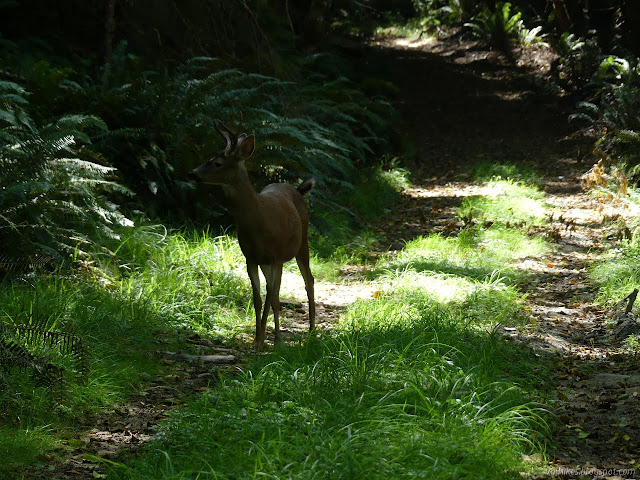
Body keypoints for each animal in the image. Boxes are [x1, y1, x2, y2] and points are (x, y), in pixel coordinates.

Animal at [188, 119, 316, 348]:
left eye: (217, 163)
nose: (192, 173)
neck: (258, 220)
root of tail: (297, 190)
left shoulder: (276, 257)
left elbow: (273, 297)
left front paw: (274, 341)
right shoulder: (251, 258)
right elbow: (258, 298)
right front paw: (258, 340)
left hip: (302, 244)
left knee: (308, 280)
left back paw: (311, 330)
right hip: (268, 260)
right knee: (273, 291)